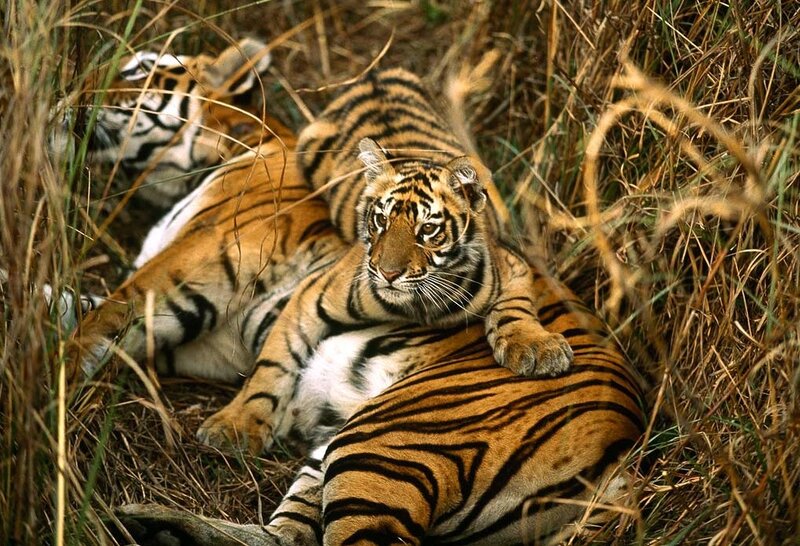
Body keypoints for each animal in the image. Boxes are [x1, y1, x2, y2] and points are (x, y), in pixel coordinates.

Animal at [61, 41, 644, 544]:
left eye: (139, 69)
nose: (67, 94)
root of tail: (629, 440)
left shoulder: (187, 269)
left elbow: (99, 318)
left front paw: (51, 378)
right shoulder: (212, 343)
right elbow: (73, 303)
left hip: (388, 439)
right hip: (338, 453)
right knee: (285, 537)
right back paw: (158, 526)